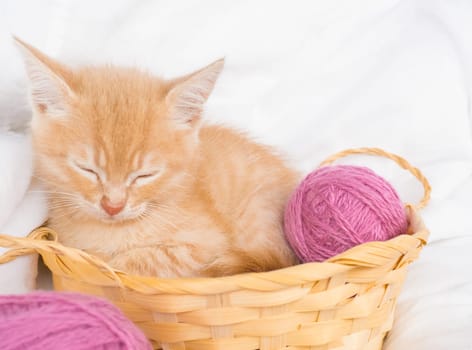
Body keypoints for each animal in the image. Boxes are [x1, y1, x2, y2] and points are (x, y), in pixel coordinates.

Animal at [16, 38, 300, 278]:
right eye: (87, 169)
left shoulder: (206, 247)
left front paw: (113, 262)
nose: (113, 206)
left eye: (145, 175)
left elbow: (141, 261)